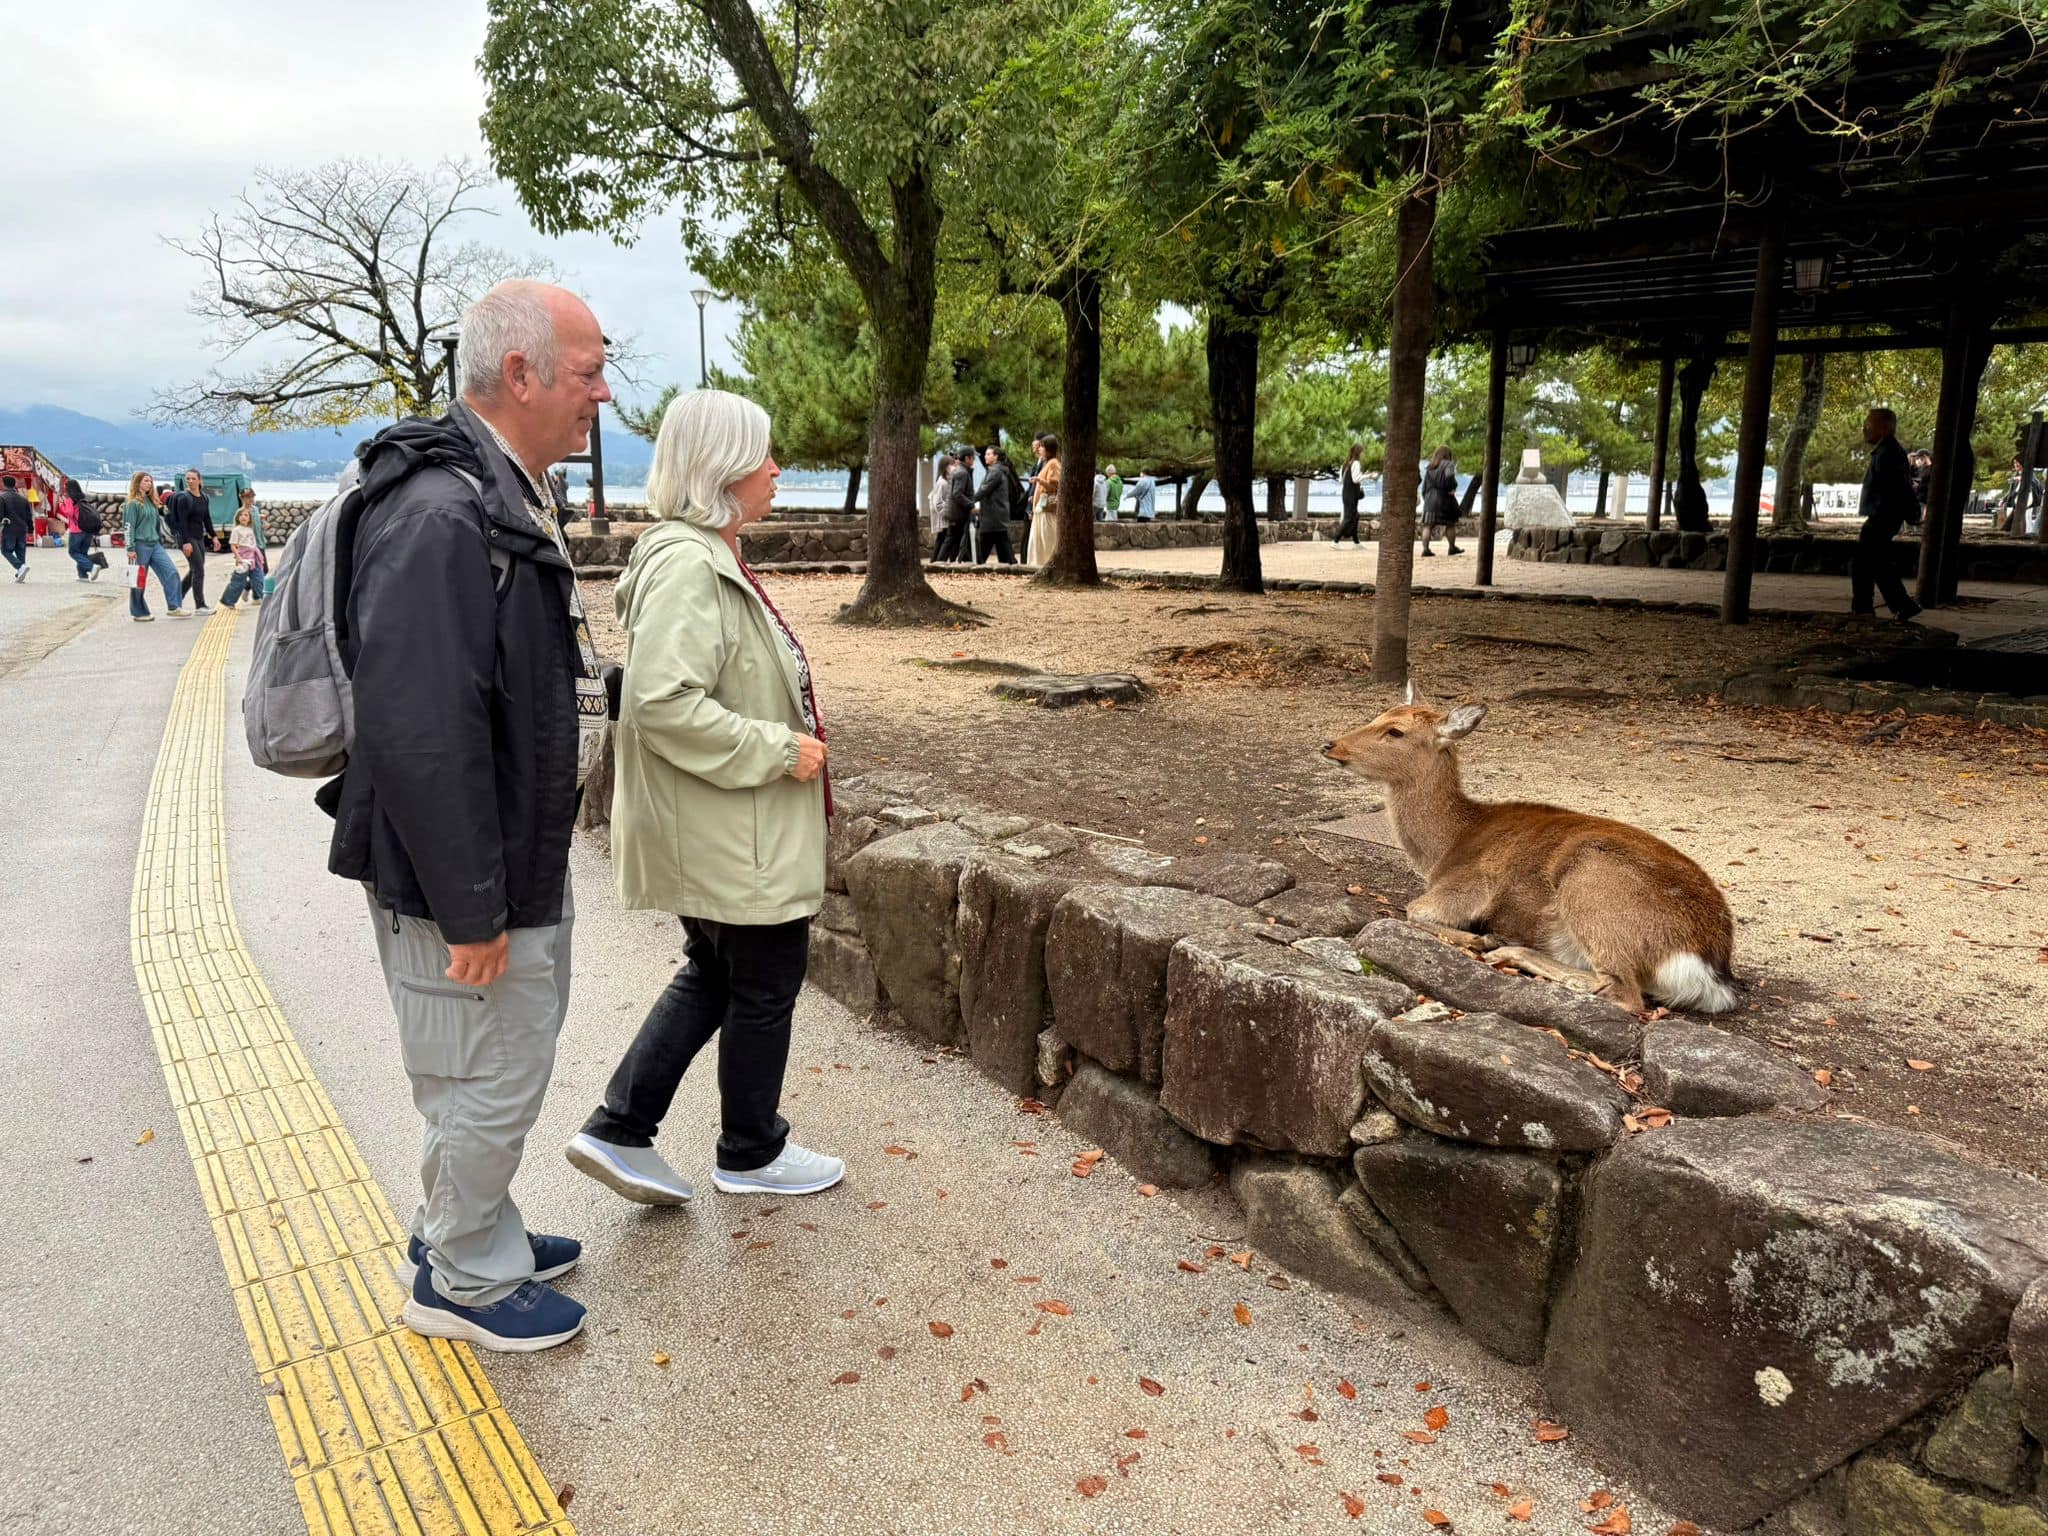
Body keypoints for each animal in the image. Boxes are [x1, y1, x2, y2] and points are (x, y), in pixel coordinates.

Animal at [1321, 687, 1737, 1014]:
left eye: (1396, 731)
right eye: (1379, 714)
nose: (1330, 744)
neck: (1446, 846)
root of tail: (1709, 967)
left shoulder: (1472, 883)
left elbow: (1414, 910)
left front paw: (1477, 937)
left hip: (1593, 887)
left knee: (1624, 992)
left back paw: (1508, 953)